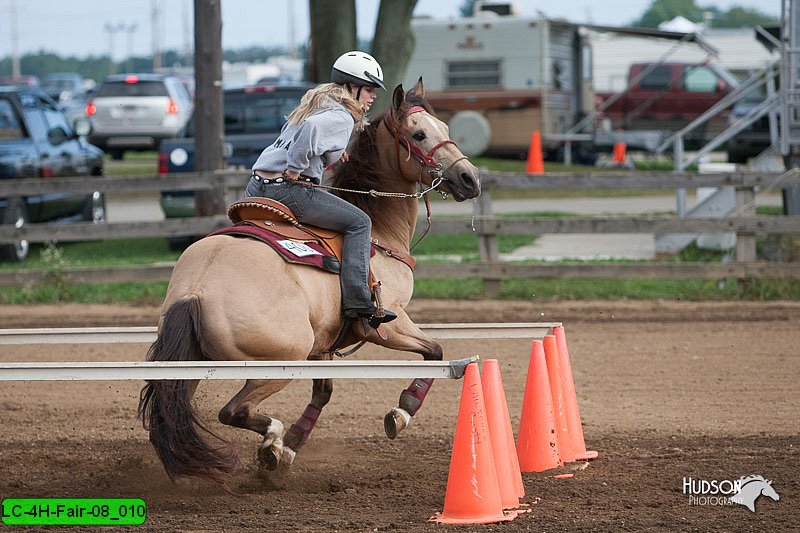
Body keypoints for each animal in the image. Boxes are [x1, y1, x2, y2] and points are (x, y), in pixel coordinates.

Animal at [138, 79, 482, 486]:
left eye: (444, 128)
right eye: (419, 134)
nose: (470, 179)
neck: (378, 230)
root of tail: (196, 290)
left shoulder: (324, 345)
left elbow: (324, 393)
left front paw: (293, 445)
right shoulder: (387, 325)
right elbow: (435, 351)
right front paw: (401, 412)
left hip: (191, 363)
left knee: (179, 407)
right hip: (281, 359)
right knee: (232, 411)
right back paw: (270, 443)